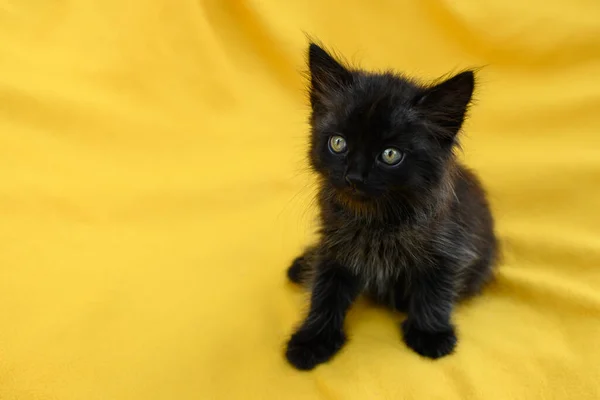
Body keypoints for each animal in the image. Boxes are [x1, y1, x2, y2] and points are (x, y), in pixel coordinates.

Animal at [284, 42, 496, 370]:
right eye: (338, 143)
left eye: (390, 154)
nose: (354, 176)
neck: (376, 220)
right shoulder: (334, 245)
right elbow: (324, 289)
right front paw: (313, 339)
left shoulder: (449, 244)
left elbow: (435, 288)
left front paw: (430, 333)